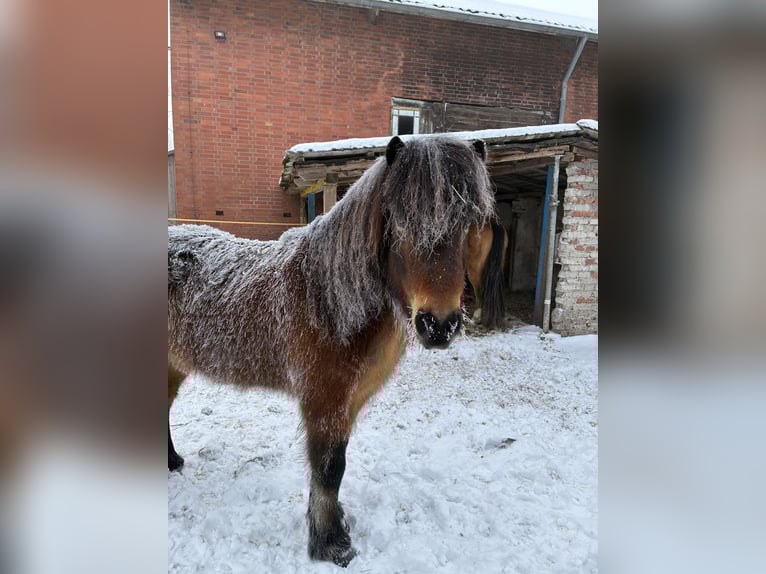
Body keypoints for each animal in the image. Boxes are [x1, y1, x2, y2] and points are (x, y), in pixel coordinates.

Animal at [167, 135, 495, 567]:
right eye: (400, 221)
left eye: (466, 223)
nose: (439, 325)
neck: (327, 299)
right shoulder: (323, 401)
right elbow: (328, 468)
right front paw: (330, 543)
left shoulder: (349, 401)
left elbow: (334, 467)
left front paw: (333, 524)